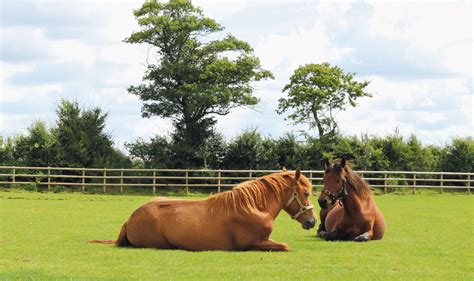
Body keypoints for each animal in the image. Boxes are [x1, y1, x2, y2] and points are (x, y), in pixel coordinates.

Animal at [91, 168, 316, 249]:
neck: (254, 207)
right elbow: (285, 246)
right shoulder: (253, 243)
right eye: (306, 193)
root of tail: (130, 219)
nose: (312, 221)